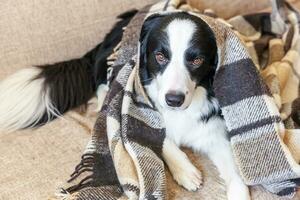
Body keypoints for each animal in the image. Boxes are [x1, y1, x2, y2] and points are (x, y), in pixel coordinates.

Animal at [141, 12, 251, 200]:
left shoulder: (214, 131)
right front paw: (186, 171)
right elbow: (160, 137)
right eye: (160, 57)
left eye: (197, 60)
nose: (174, 100)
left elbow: (234, 172)